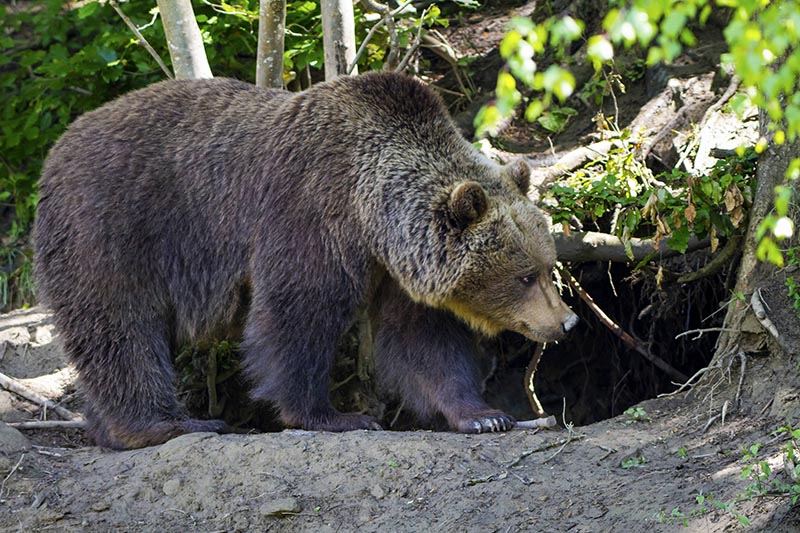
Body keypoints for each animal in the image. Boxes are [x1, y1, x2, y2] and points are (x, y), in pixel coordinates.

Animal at [34, 71, 580, 448]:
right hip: (115, 229)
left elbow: (421, 340)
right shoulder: (310, 214)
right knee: (121, 329)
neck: (369, 211)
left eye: (546, 265)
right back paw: (165, 423)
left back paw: (108, 429)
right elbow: (297, 315)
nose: (566, 321)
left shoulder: (396, 270)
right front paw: (336, 415)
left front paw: (484, 414)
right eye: (525, 275)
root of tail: (56, 150)